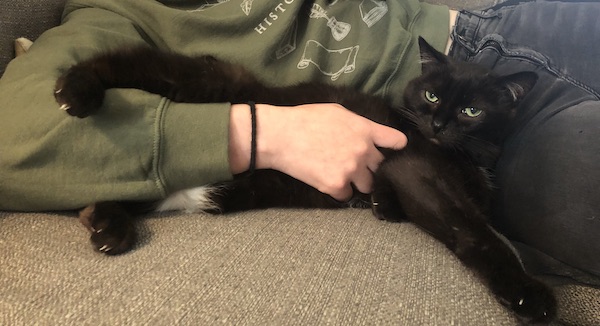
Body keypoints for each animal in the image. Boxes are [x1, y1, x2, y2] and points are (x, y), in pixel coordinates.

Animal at [54, 38, 556, 324]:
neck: (467, 156)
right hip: (210, 82)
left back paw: (107, 223)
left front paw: (382, 206)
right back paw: (76, 88)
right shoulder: (415, 167)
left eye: (473, 111)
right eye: (431, 95)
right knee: (128, 61)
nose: (437, 125)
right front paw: (527, 293)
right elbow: (473, 228)